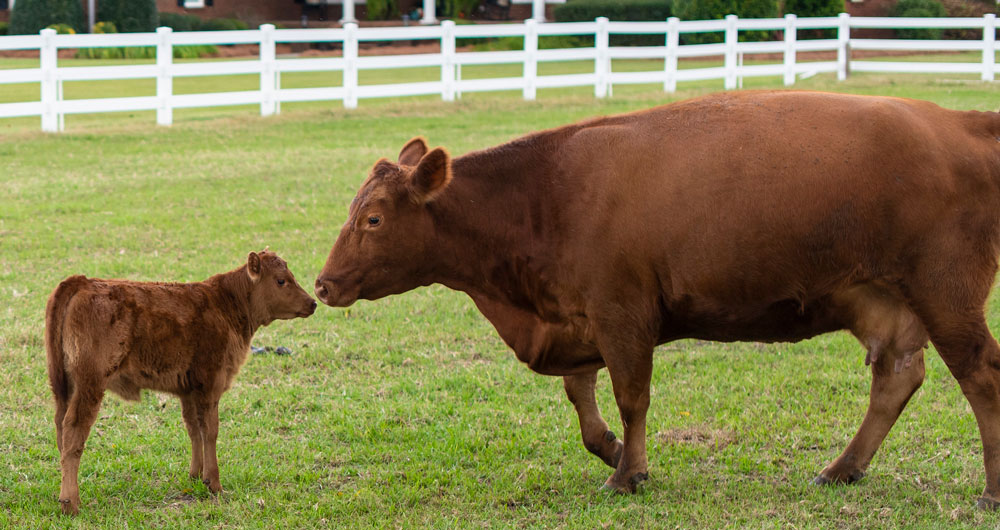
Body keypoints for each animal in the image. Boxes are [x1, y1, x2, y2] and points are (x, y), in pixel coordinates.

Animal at [44, 249, 312, 512]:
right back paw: (70, 502)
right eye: (281, 280)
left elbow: (194, 429)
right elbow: (210, 431)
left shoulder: (189, 390)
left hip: (63, 386)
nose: (312, 303)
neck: (225, 305)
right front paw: (214, 483)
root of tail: (83, 281)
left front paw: (196, 476)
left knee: (60, 429)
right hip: (90, 384)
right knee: (74, 431)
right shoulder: (210, 384)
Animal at [316, 89, 1000, 504]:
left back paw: (990, 489)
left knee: (980, 376)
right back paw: (843, 467)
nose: (323, 284)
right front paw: (612, 451)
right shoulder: (579, 318)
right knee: (897, 378)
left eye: (373, 219)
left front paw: (629, 474)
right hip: (885, 300)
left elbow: (631, 397)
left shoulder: (621, 313)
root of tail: (958, 122)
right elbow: (584, 403)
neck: (544, 195)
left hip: (947, 294)